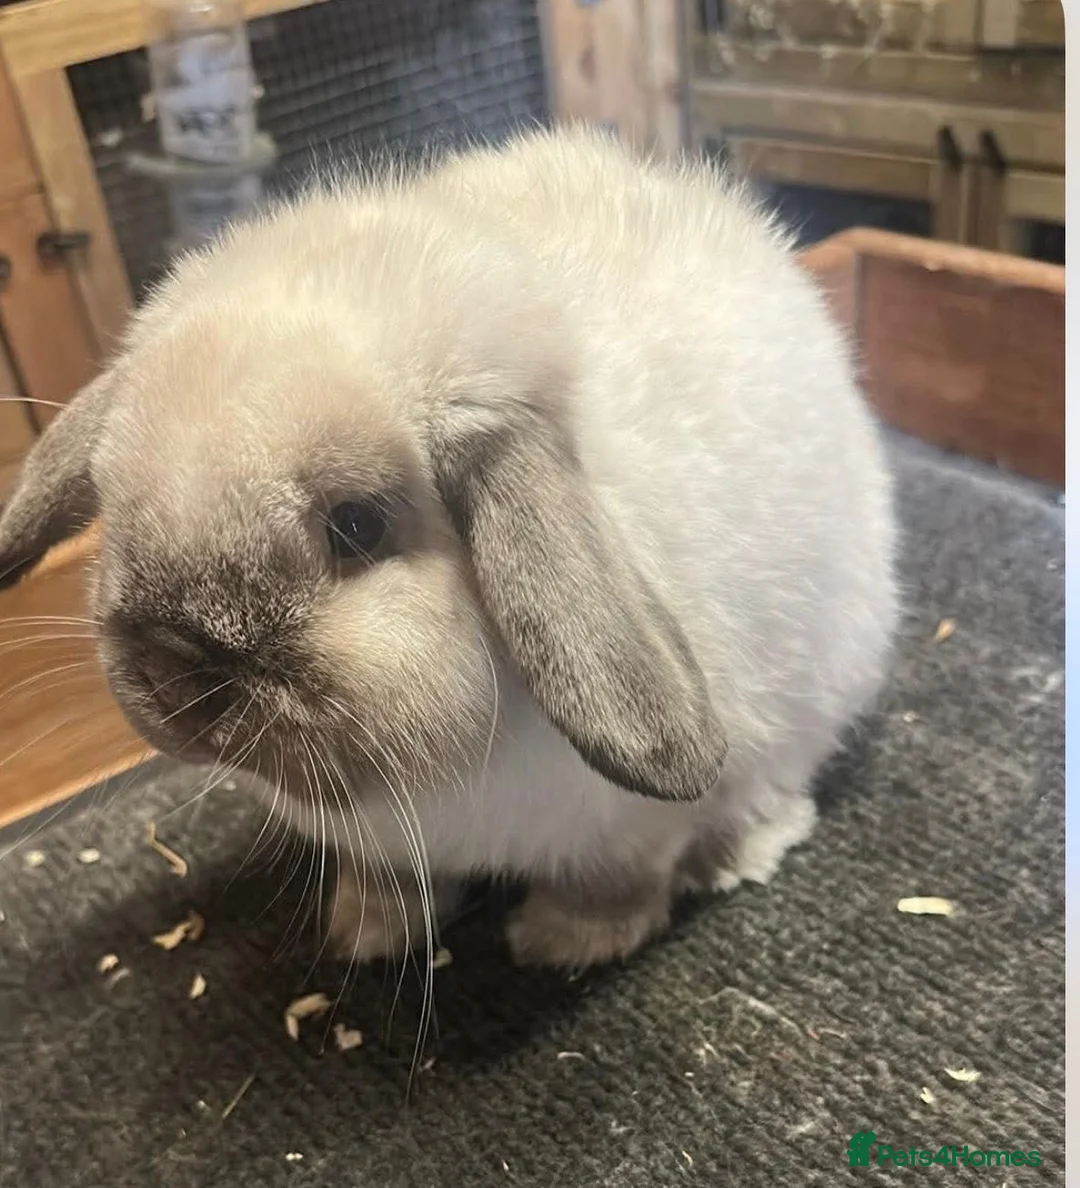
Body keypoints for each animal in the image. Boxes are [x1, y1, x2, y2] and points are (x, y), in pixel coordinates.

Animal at [0, 126, 898, 969]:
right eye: (113, 507)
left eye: (356, 525)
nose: (176, 675)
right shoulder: (383, 848)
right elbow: (389, 882)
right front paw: (365, 931)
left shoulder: (630, 831)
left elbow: (617, 880)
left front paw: (563, 943)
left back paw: (740, 852)